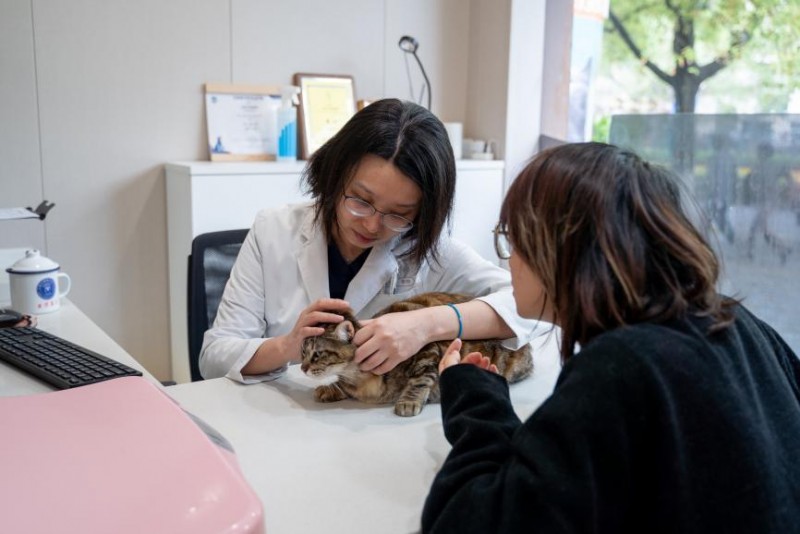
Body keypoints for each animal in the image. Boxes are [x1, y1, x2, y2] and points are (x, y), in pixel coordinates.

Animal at [298, 294, 532, 418]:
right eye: (303, 353)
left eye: (317, 354)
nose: (302, 368)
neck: (359, 378)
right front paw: (331, 388)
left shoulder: (427, 350)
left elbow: (420, 379)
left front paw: (409, 400)